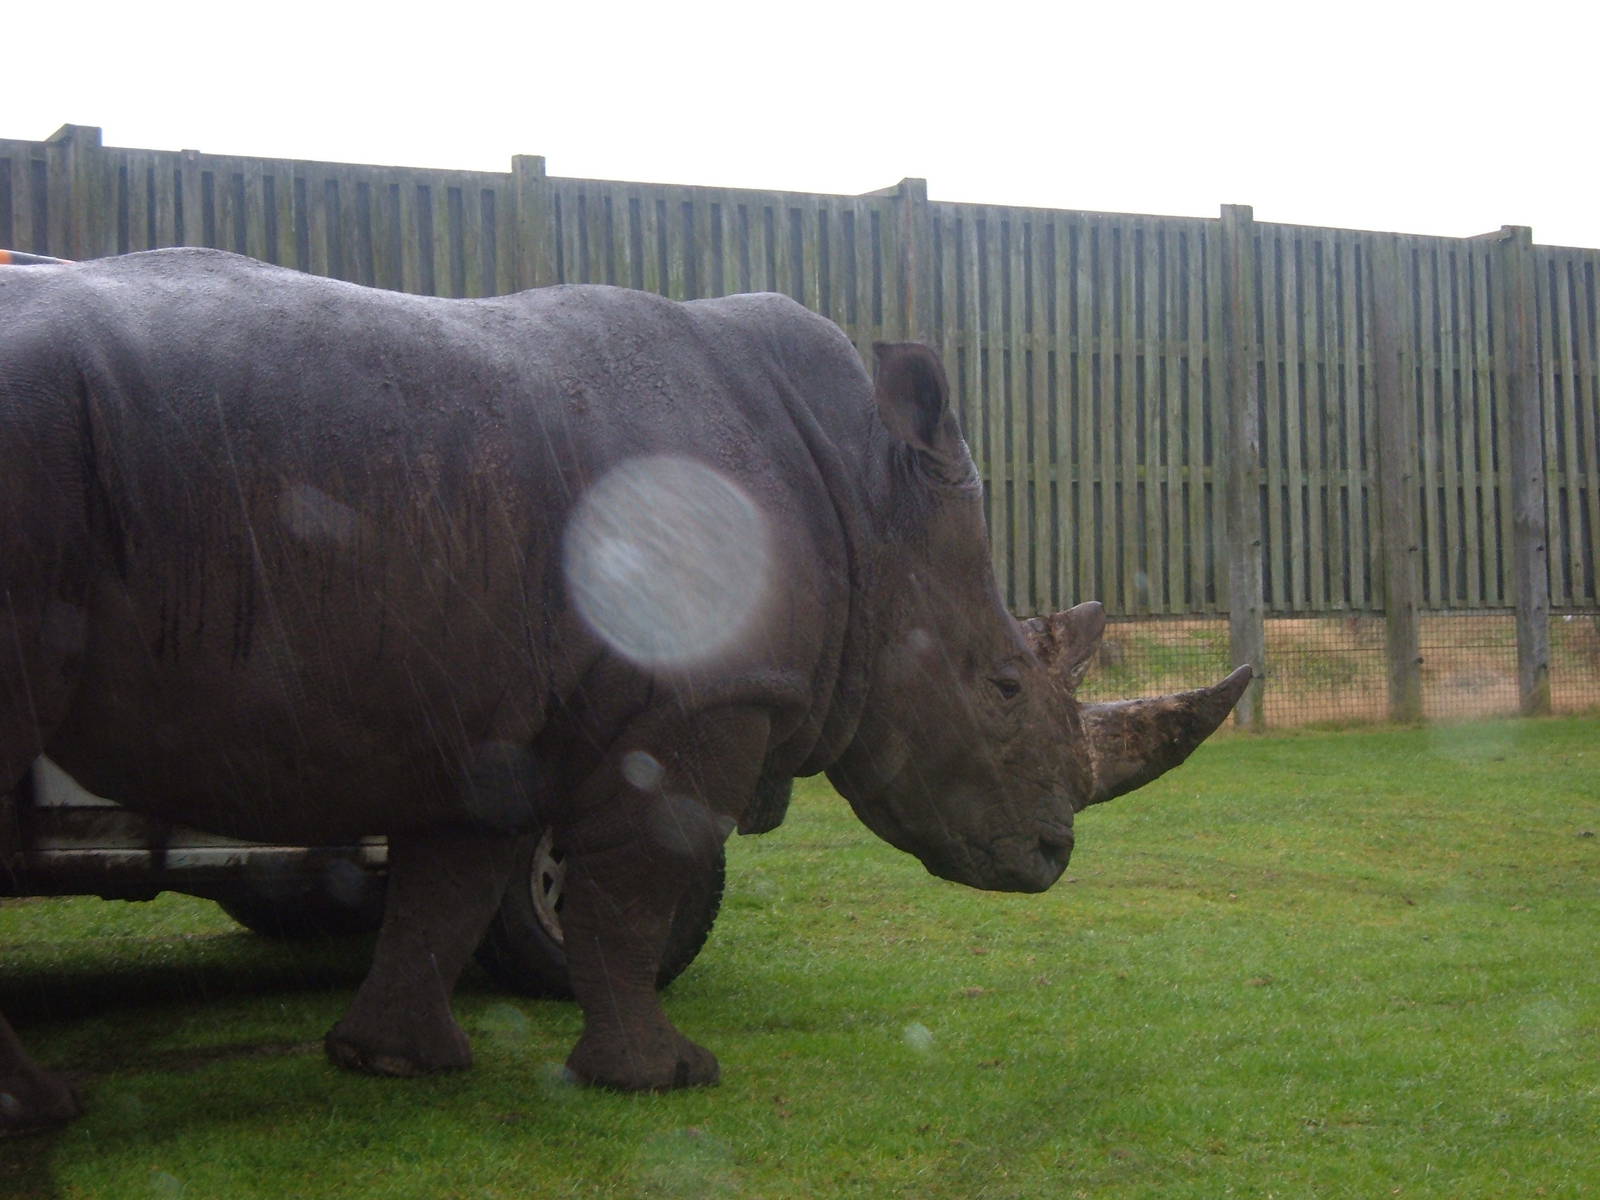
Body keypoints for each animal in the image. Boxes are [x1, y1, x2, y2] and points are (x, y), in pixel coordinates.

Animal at [0, 248, 1249, 1131]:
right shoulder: (701, 699)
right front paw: (667, 1079)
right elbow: (632, 886)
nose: (1050, 857)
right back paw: (48, 1112)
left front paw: (393, 1063)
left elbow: (446, 885)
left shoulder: (476, 706)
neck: (866, 504)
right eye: (1000, 688)